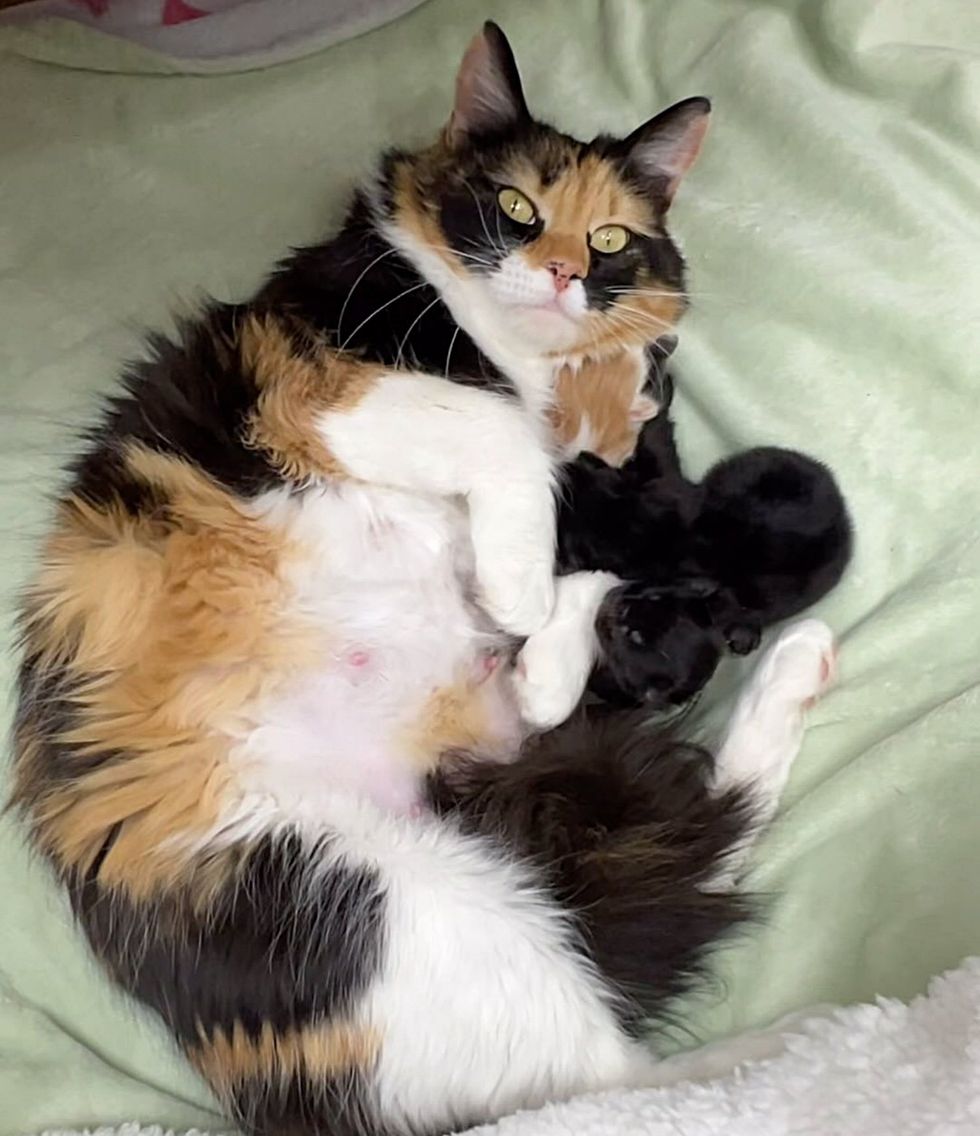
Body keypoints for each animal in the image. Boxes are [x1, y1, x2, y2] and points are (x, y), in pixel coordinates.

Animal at [7, 22, 840, 1136]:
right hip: (367, 902)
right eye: (518, 208)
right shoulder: (323, 393)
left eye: (609, 238)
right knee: (608, 1070)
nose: (564, 273)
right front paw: (527, 572)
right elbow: (506, 435)